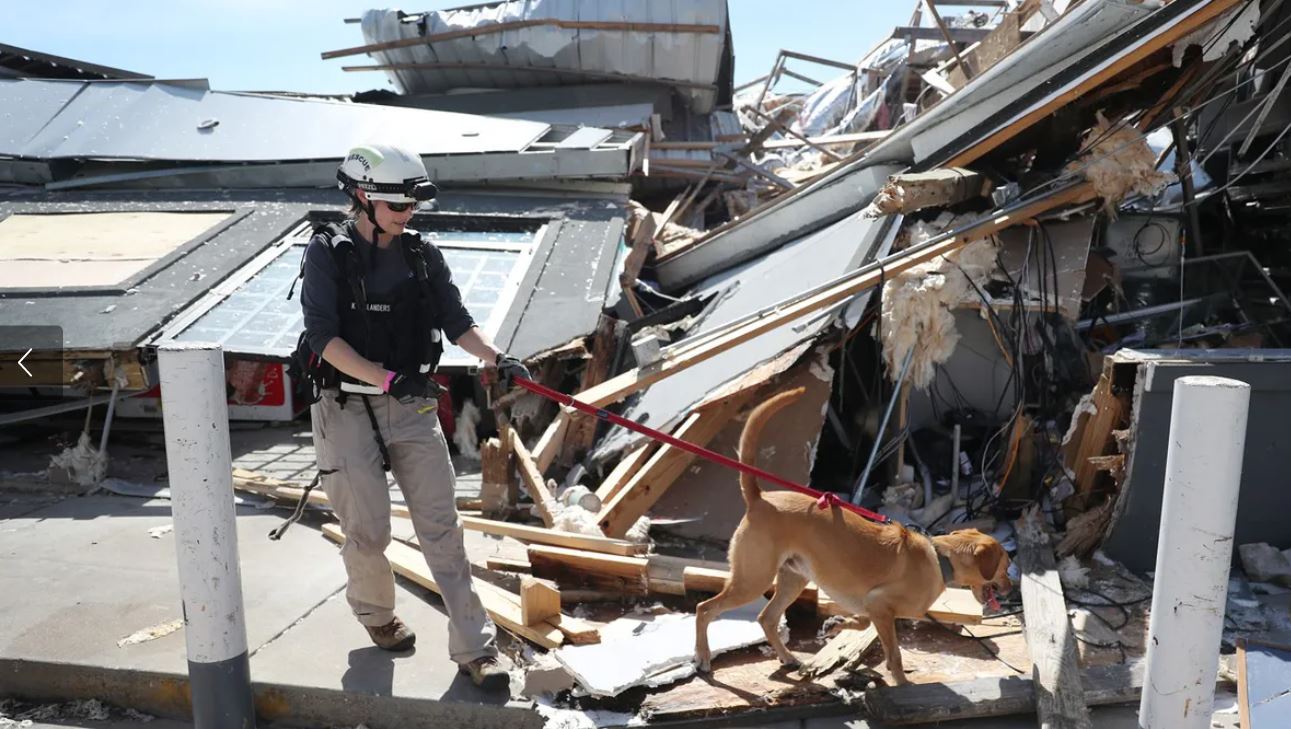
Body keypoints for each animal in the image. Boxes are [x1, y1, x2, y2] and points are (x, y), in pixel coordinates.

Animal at [691, 389, 1012, 681]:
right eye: (1006, 565)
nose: (1010, 589)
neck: (939, 557)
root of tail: (760, 499)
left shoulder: (871, 606)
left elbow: (859, 624)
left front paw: (835, 625)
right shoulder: (880, 606)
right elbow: (894, 655)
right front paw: (902, 685)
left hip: (793, 578)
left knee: (766, 617)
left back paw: (787, 657)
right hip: (752, 580)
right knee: (704, 608)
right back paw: (703, 658)